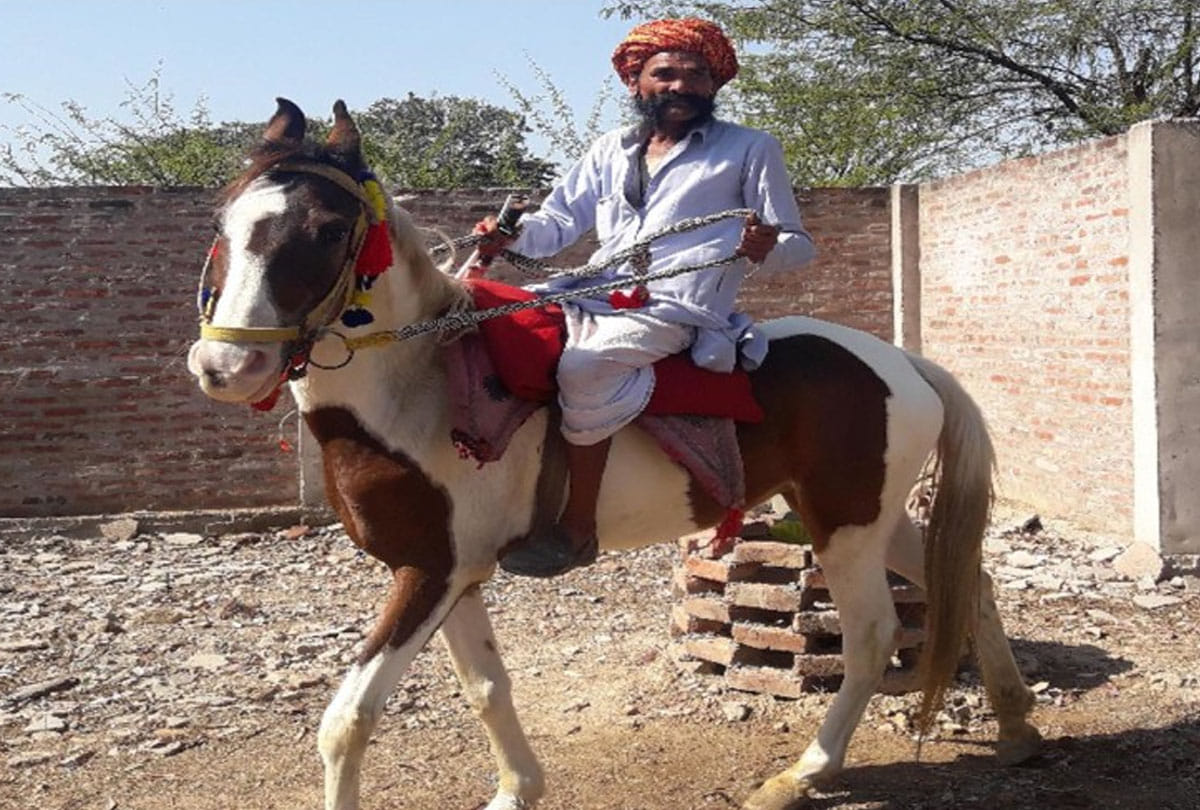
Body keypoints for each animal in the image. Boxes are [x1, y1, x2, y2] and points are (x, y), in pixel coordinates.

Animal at [187, 98, 1042, 810]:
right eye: (224, 224)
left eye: (329, 230)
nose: (227, 366)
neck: (417, 386)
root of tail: (906, 363)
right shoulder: (449, 572)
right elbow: (486, 687)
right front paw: (517, 792)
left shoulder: (427, 575)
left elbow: (348, 720)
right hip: (861, 517)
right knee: (967, 579)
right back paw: (1015, 724)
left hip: (845, 530)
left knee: (871, 638)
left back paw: (805, 773)